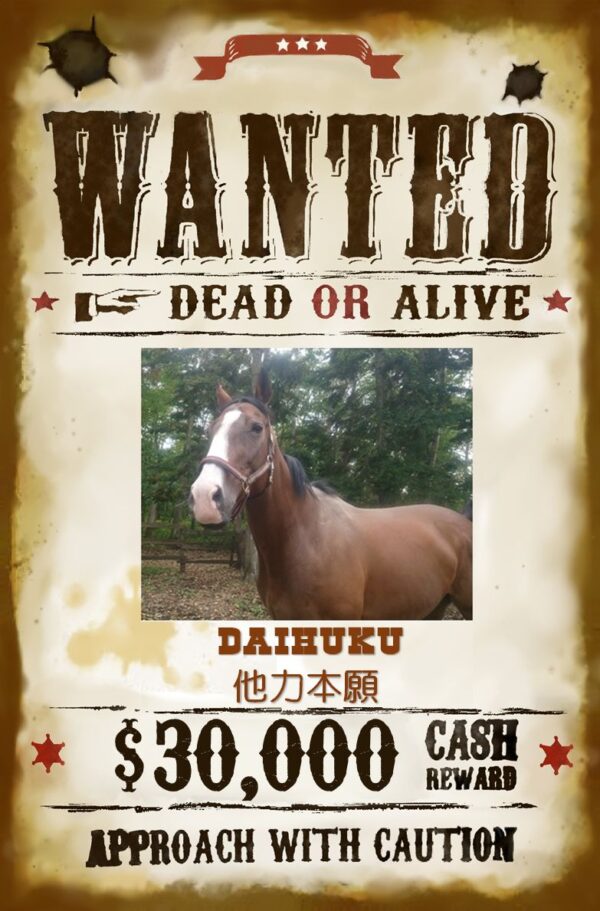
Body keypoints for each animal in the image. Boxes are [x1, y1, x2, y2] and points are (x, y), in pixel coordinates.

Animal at [190, 371, 472, 621]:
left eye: (257, 427)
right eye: (211, 430)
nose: (204, 497)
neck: (305, 540)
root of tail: (463, 520)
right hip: (433, 608)